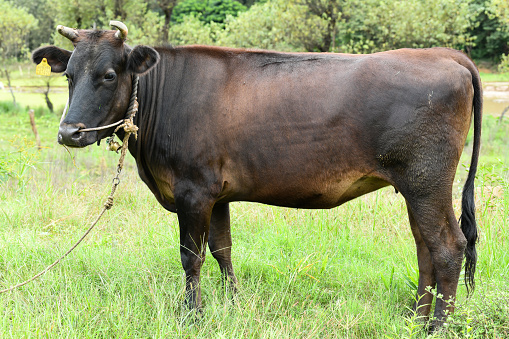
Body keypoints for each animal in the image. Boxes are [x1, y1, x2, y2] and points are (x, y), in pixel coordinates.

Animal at [32, 21, 480, 330]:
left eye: (109, 75)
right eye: (68, 75)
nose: (69, 133)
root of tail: (444, 54)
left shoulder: (193, 191)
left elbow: (191, 256)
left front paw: (192, 316)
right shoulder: (218, 195)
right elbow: (222, 250)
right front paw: (233, 305)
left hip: (427, 181)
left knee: (448, 246)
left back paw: (437, 326)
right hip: (416, 187)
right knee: (424, 246)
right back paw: (415, 318)